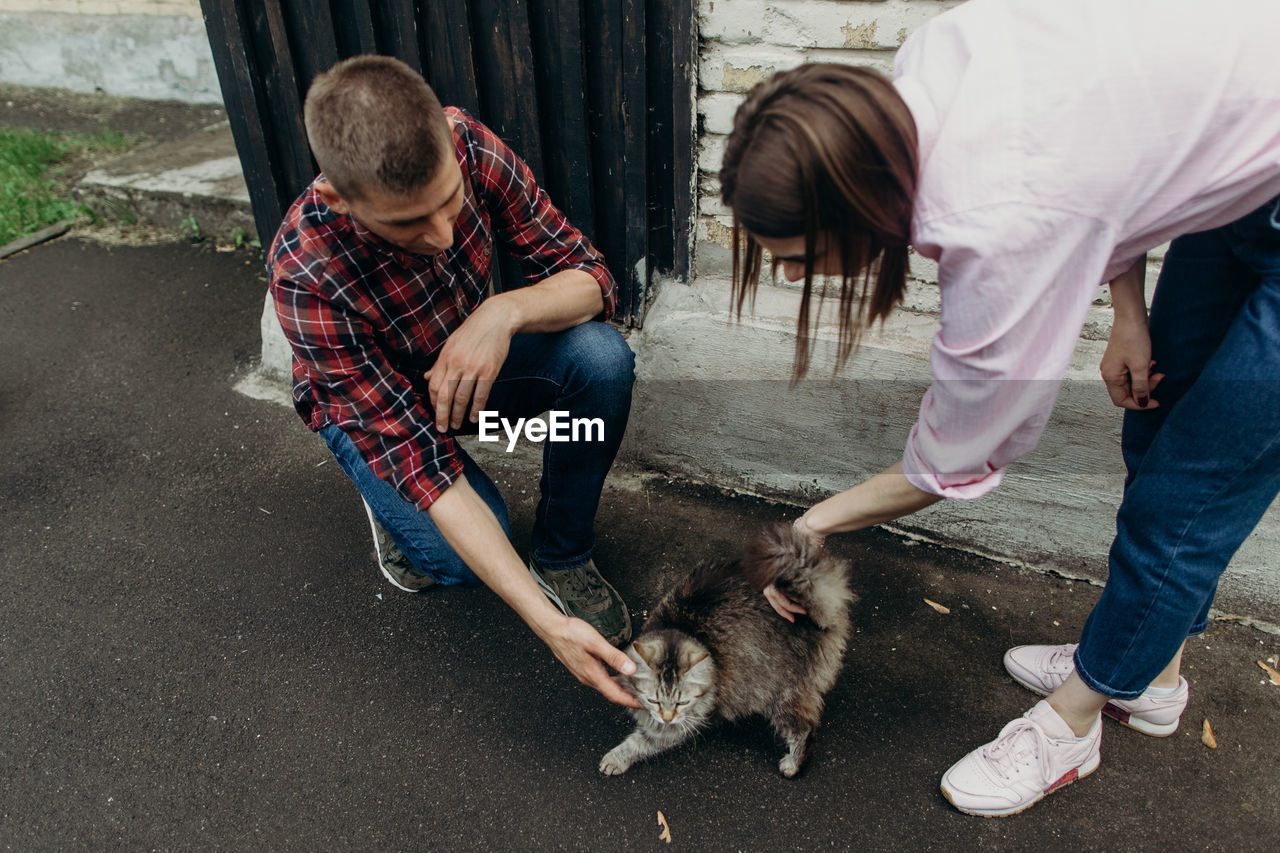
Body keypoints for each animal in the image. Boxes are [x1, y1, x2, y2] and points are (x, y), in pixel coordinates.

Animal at [596, 522, 855, 773]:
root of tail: (812, 614)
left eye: (682, 703)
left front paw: (617, 758)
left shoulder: (681, 724)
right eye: (654, 701)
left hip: (784, 693)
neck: (681, 627)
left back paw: (794, 764)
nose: (667, 718)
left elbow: (642, 742)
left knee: (804, 729)